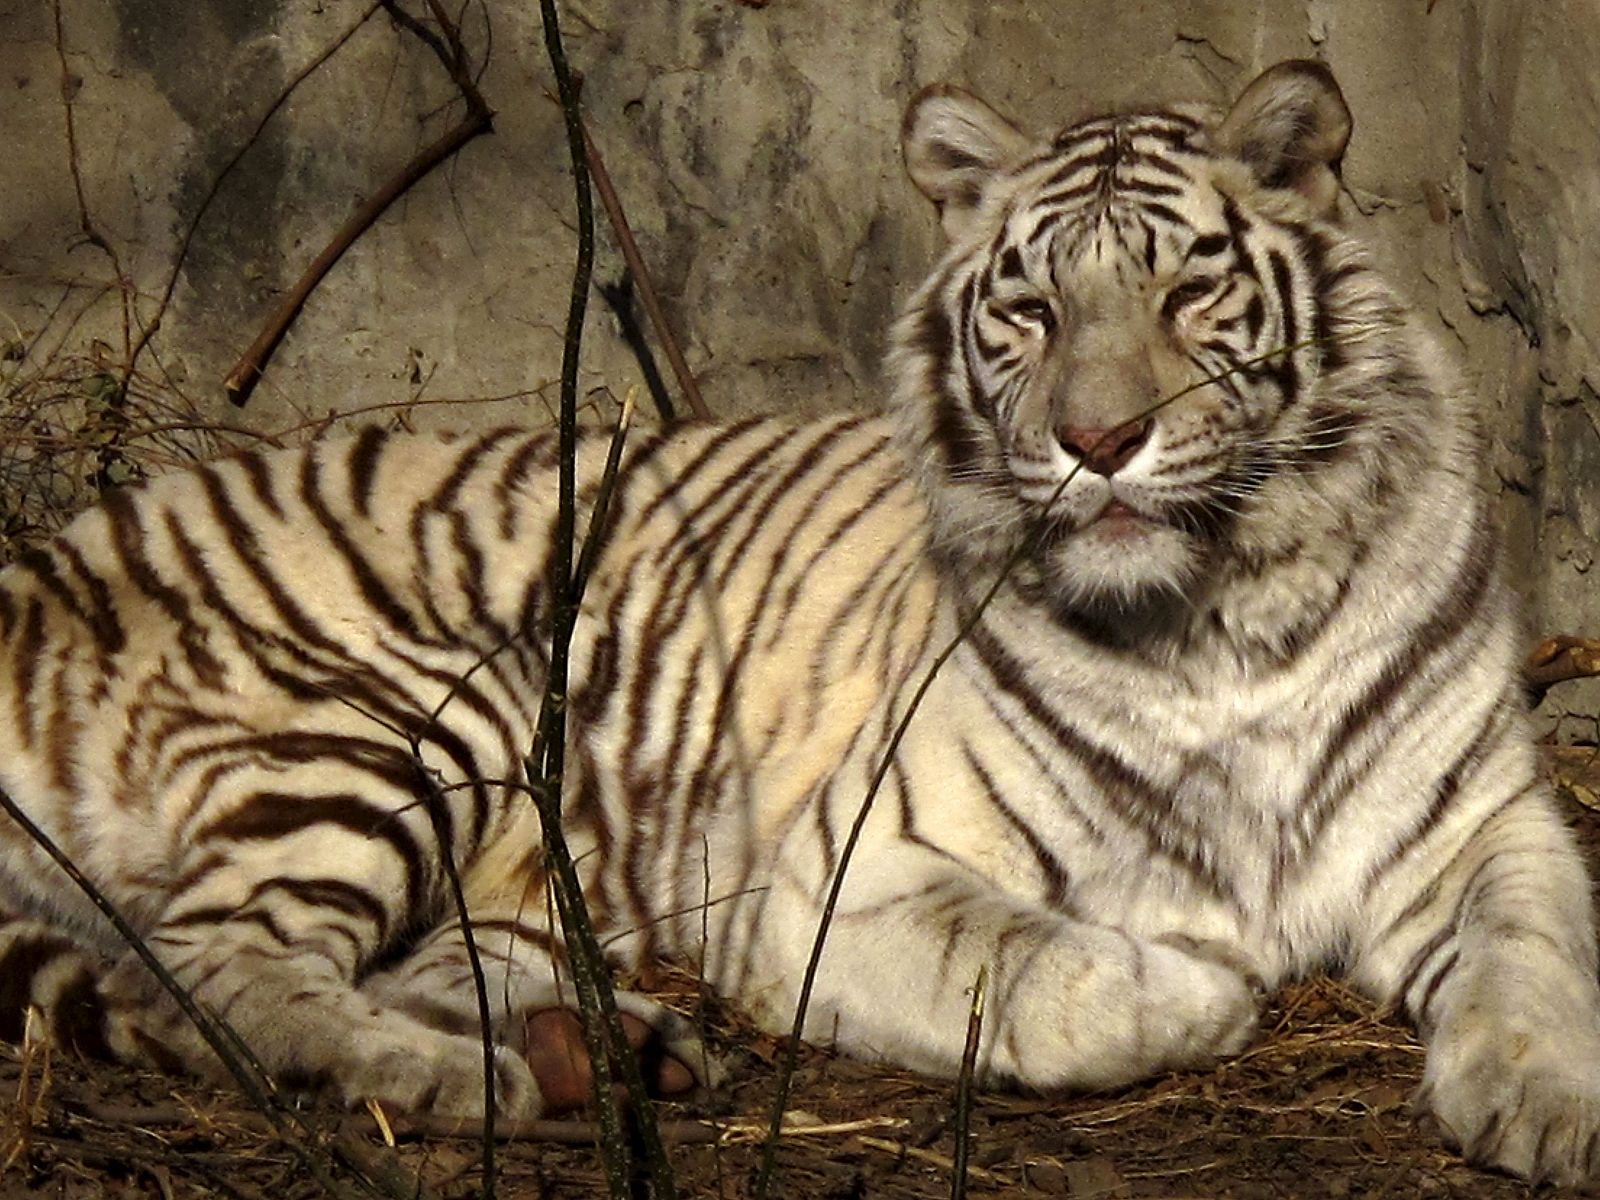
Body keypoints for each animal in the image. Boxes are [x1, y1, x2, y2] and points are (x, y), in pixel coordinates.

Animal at [3, 63, 1600, 1184]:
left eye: (1187, 289)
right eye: (1029, 307)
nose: (1097, 441)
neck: (1223, 619)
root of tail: (50, 553)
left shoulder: (1488, 826)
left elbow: (1536, 957)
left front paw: (1555, 1106)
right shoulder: (847, 875)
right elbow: (1051, 971)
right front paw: (1209, 979)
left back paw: (604, 1049)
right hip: (413, 704)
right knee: (216, 965)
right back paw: (462, 1081)